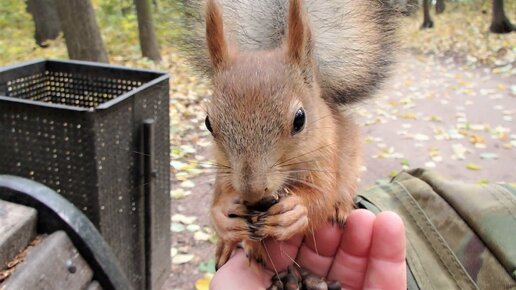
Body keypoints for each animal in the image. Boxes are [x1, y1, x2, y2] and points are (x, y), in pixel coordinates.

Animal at [184, 0, 396, 268]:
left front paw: (296, 211)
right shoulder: (224, 170)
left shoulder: (325, 158)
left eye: (300, 119)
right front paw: (223, 217)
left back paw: (340, 207)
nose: (252, 191)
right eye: (208, 123)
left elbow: (322, 197)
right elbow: (217, 201)